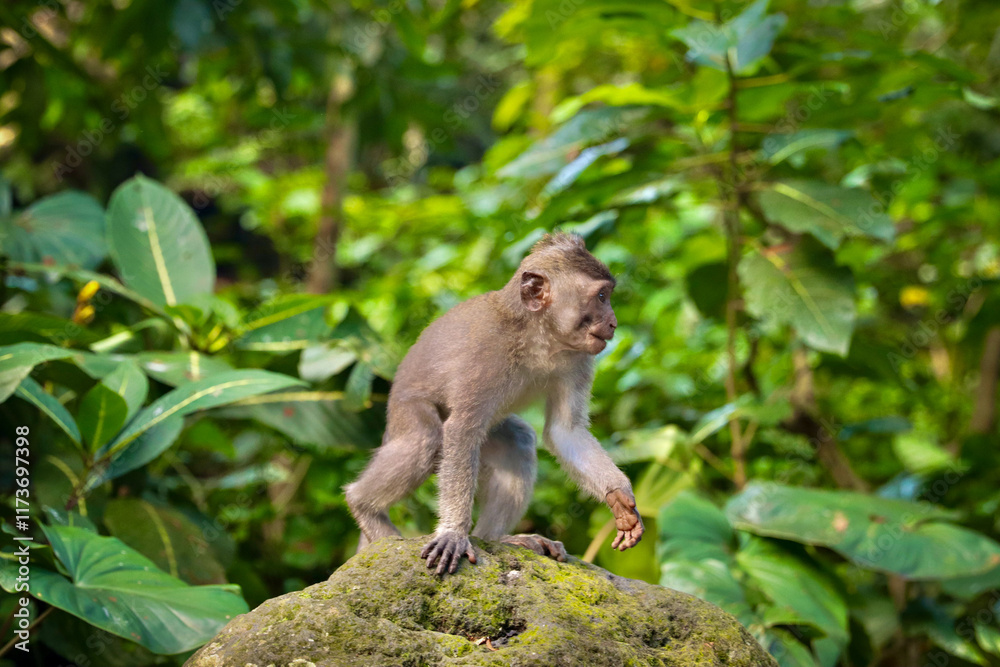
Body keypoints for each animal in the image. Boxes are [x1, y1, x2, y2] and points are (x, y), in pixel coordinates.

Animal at [344, 232, 643, 575]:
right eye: (602, 297)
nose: (613, 322)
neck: (538, 335)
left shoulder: (578, 358)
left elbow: (564, 431)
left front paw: (619, 497)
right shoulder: (487, 351)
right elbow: (462, 429)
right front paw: (453, 533)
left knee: (518, 440)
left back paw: (499, 538)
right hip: (405, 410)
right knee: (427, 438)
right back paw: (362, 506)